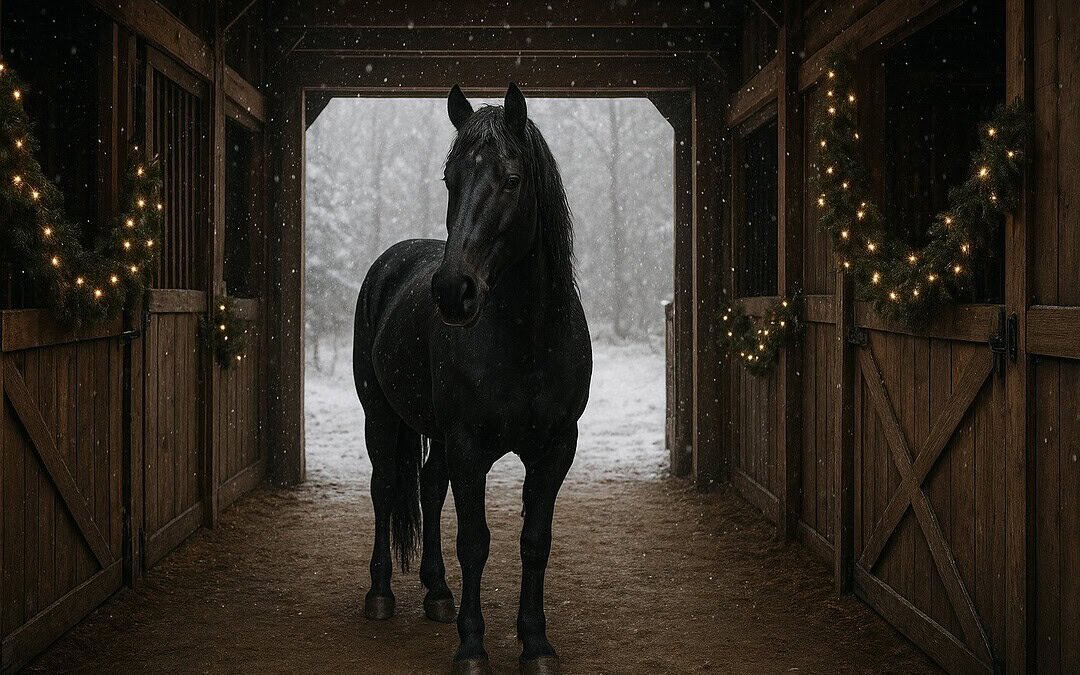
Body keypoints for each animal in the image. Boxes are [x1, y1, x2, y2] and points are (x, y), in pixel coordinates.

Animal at [352, 83, 592, 675]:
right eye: (449, 180)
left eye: (510, 179)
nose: (452, 291)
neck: (527, 341)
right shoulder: (468, 446)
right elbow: (475, 542)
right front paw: (472, 646)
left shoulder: (555, 448)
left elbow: (534, 540)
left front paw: (536, 644)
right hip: (379, 415)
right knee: (385, 488)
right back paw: (381, 595)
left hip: (433, 434)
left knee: (429, 486)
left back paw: (437, 593)